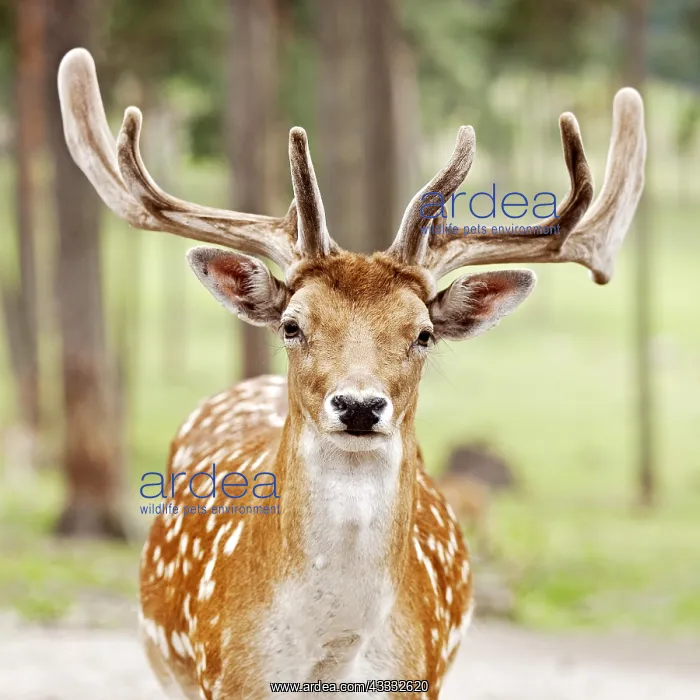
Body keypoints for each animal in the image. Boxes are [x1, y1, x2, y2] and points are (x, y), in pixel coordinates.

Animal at [57, 47, 645, 699]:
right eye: (292, 325)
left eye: (423, 333)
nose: (359, 406)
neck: (332, 658)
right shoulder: (225, 678)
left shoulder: (422, 675)